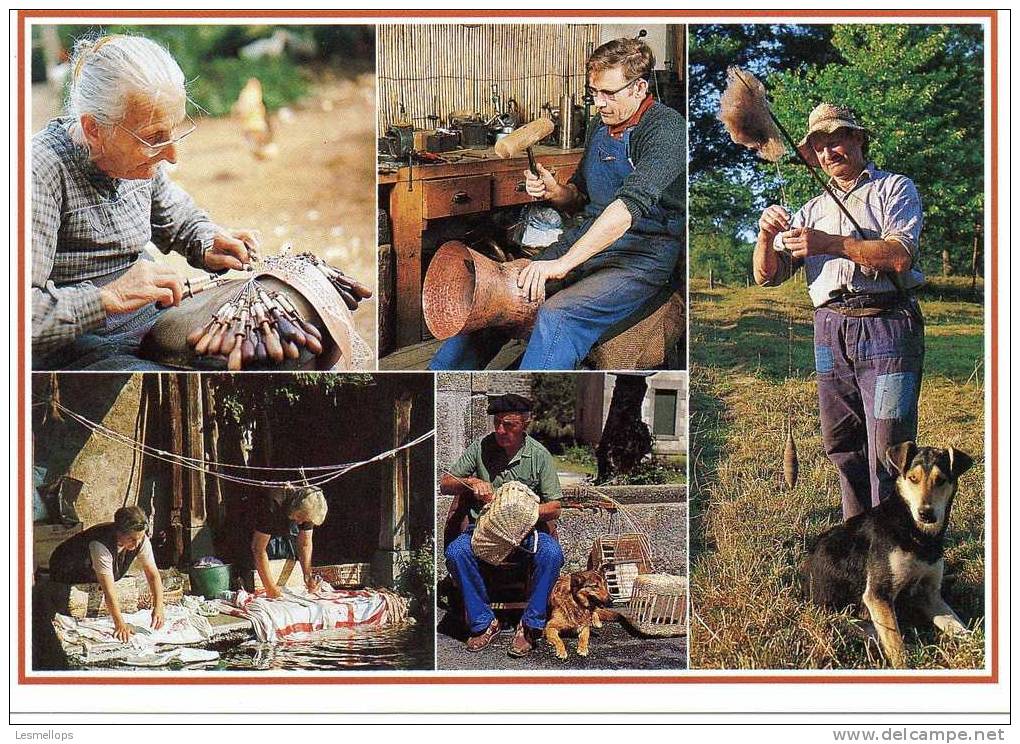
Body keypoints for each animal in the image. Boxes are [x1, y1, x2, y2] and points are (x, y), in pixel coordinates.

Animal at [803, 440, 971, 669]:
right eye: (913, 478)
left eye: (941, 480)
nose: (925, 514)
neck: (916, 533)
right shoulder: (878, 595)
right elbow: (896, 645)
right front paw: (905, 664)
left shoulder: (929, 593)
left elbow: (960, 627)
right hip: (845, 618)